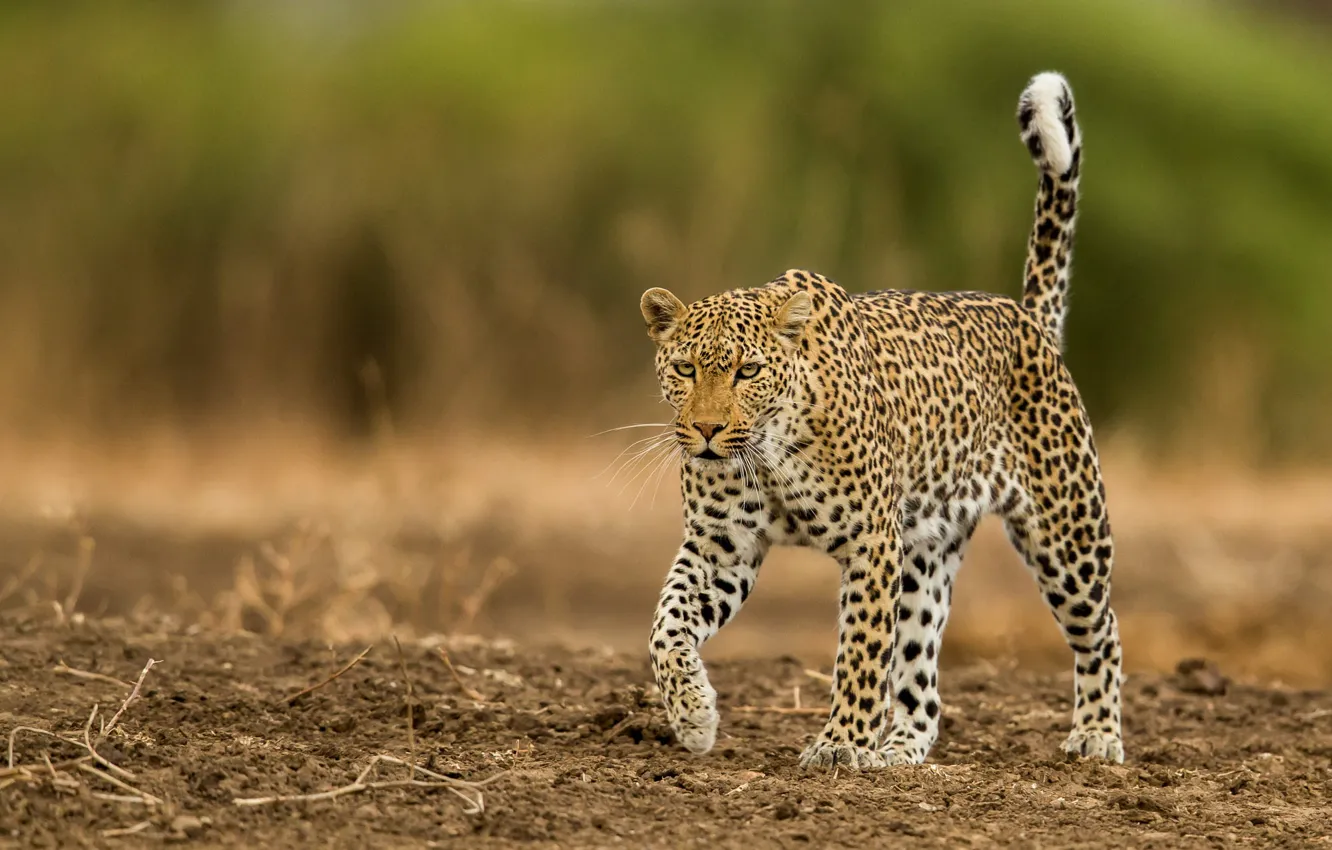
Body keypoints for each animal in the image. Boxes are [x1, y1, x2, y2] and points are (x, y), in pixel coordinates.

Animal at [638, 71, 1123, 770]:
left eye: (748, 372)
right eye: (684, 368)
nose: (704, 431)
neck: (770, 451)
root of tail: (1027, 318)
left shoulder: (870, 543)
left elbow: (862, 653)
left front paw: (841, 743)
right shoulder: (721, 546)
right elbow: (665, 624)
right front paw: (693, 715)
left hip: (1066, 536)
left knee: (1101, 630)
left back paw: (1098, 735)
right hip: (927, 550)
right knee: (921, 674)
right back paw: (899, 749)